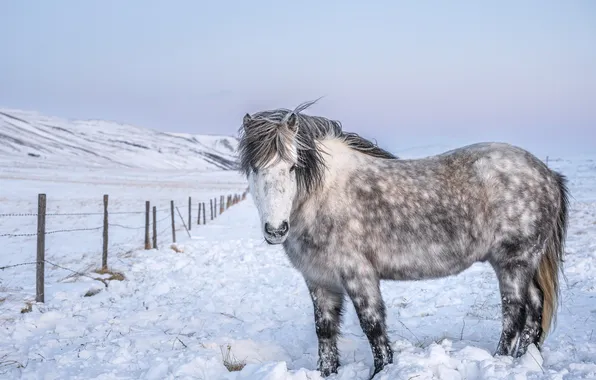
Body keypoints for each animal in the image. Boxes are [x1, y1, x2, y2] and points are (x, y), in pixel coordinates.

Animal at [235, 99, 572, 378]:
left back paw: (500, 360)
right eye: (254, 168)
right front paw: (327, 372)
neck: (325, 196)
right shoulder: (319, 280)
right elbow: (325, 330)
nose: (276, 229)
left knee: (514, 312)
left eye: (293, 167)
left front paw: (383, 370)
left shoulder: (358, 274)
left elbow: (373, 326)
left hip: (513, 261)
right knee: (534, 307)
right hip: (523, 263)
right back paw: (525, 359)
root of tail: (547, 174)